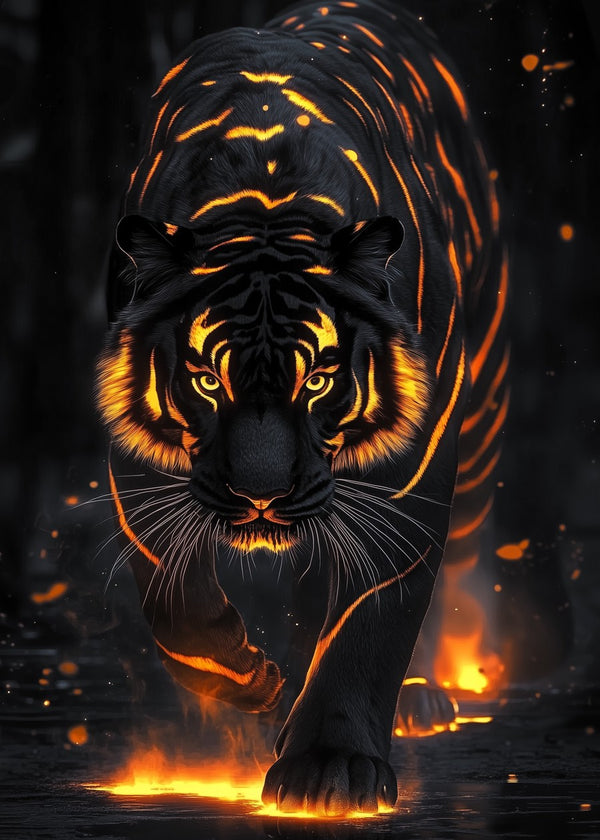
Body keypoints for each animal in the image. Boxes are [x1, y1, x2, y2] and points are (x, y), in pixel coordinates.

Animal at [96, 0, 508, 816]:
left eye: (319, 378)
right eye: (205, 378)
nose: (262, 496)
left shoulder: (409, 468)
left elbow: (372, 616)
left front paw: (330, 767)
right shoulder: (140, 461)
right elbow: (176, 601)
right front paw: (255, 680)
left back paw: (423, 694)